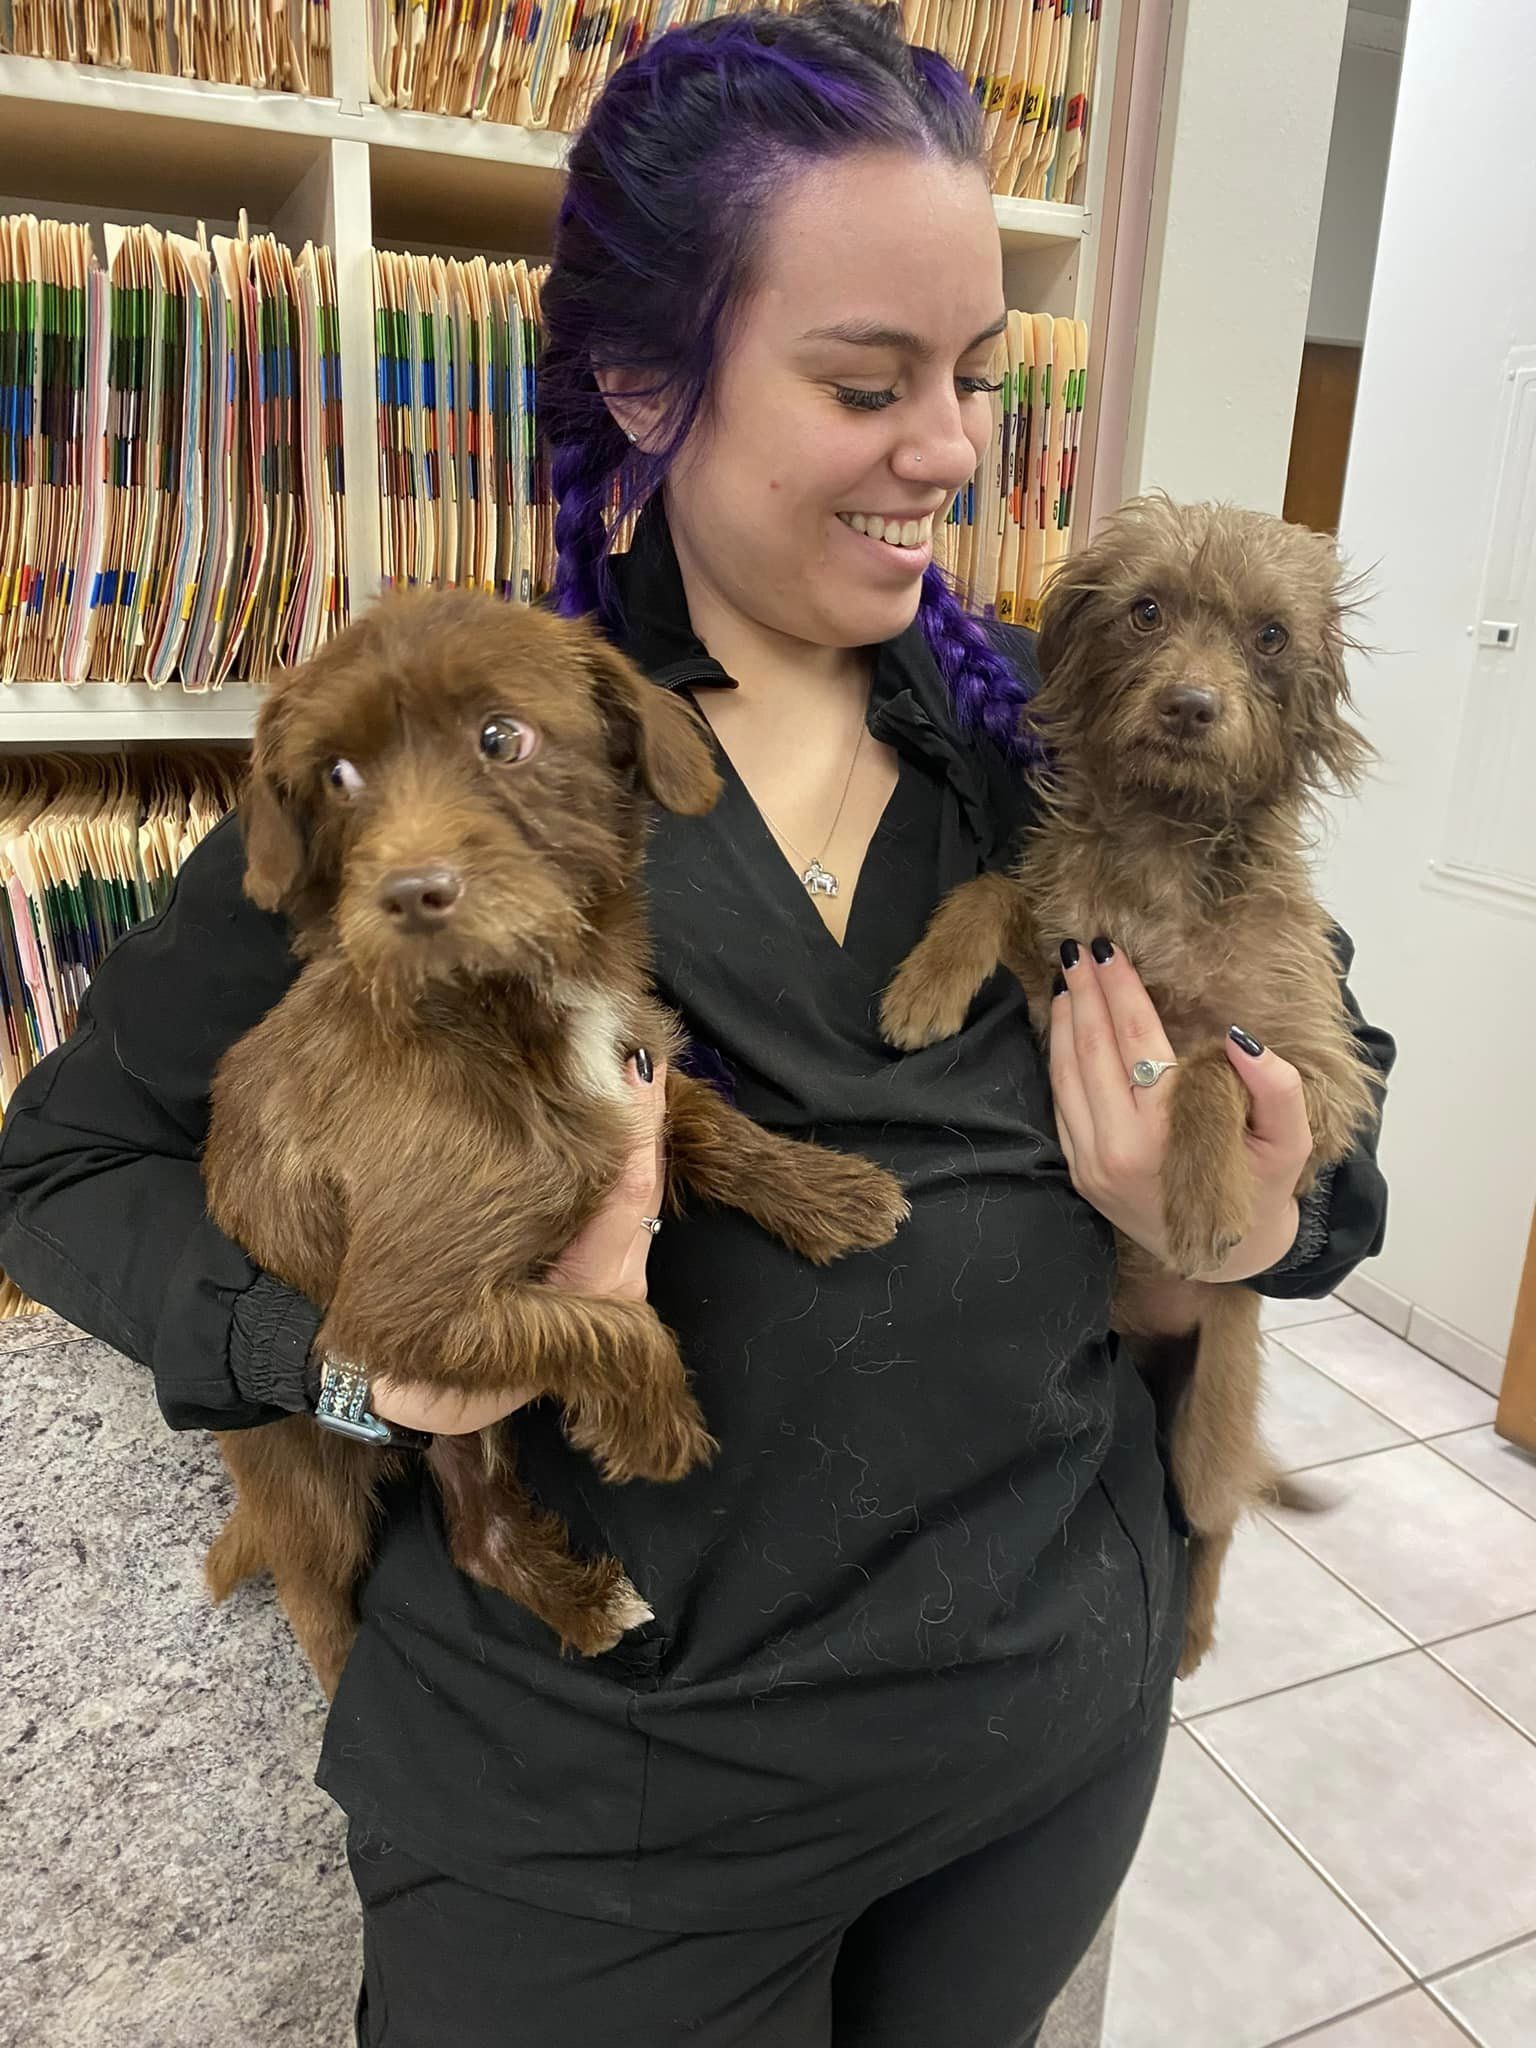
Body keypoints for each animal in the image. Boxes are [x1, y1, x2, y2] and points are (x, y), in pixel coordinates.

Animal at [198, 589, 909, 1695]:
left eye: (503, 738)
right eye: (337, 775)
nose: (410, 892)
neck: (510, 1006)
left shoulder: (637, 1078)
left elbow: (712, 1119)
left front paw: (829, 1190)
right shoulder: (395, 1313)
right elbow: (613, 1324)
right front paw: (659, 1429)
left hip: (464, 1429)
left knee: (474, 1532)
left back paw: (582, 1605)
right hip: (314, 1469)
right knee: (315, 1591)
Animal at [876, 499, 1384, 1679]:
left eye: (1270, 637)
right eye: (1147, 611)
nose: (1191, 705)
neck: (1164, 844)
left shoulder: (1314, 1068)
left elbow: (1204, 1062)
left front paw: (1196, 1189)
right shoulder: (1062, 971)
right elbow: (990, 891)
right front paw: (925, 987)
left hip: (1206, 1426)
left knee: (1214, 1526)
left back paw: (1192, 1637)